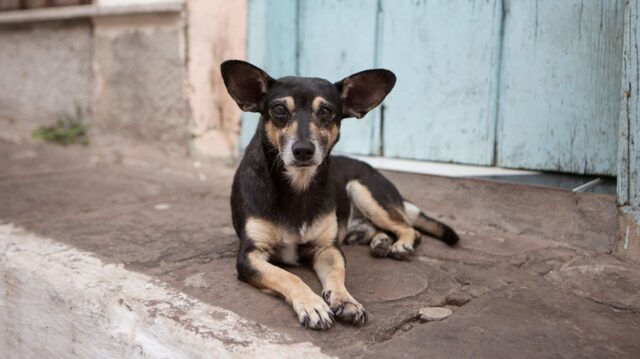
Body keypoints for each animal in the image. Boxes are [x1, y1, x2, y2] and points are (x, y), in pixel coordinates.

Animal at [221, 59, 460, 332]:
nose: (303, 150)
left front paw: (346, 301)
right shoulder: (250, 256)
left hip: (363, 191)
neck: (298, 186)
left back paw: (400, 244)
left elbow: (337, 276)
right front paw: (312, 305)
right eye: (279, 109)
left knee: (409, 227)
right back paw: (380, 242)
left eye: (326, 111)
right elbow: (288, 276)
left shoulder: (328, 249)